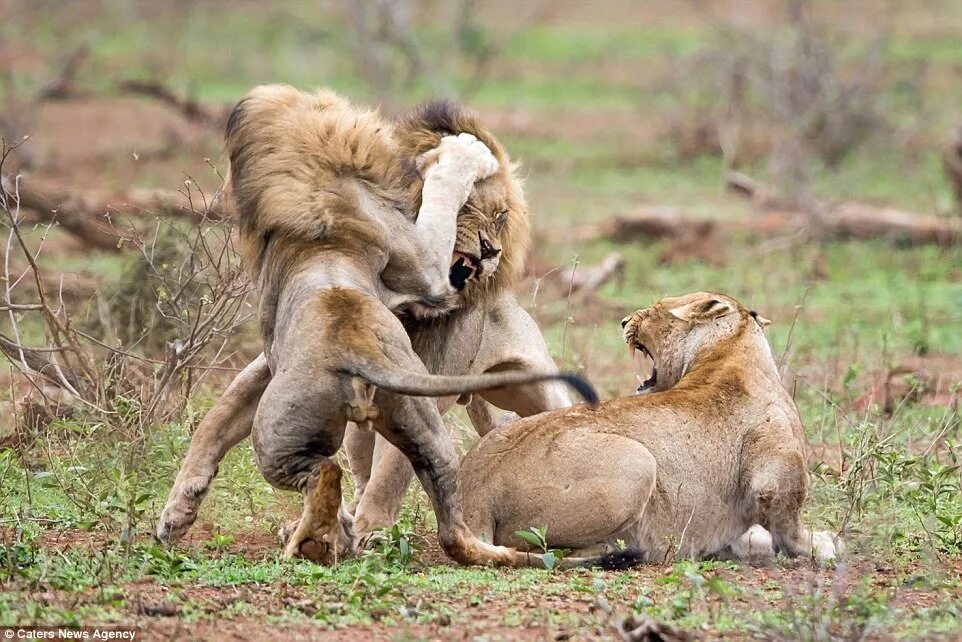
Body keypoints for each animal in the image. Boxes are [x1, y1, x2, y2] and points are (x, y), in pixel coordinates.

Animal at [157, 86, 592, 564]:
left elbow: (390, 471)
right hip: (359, 429)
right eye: (472, 210)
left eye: (500, 216)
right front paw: (177, 511)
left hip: (535, 389)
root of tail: (357, 358)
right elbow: (218, 419)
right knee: (363, 473)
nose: (492, 251)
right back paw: (337, 529)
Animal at [458, 292, 840, 564]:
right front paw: (821, 546)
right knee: (545, 550)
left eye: (656, 309)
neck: (729, 351)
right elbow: (788, 526)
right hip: (638, 462)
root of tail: (475, 492)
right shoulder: (774, 477)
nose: (624, 320)